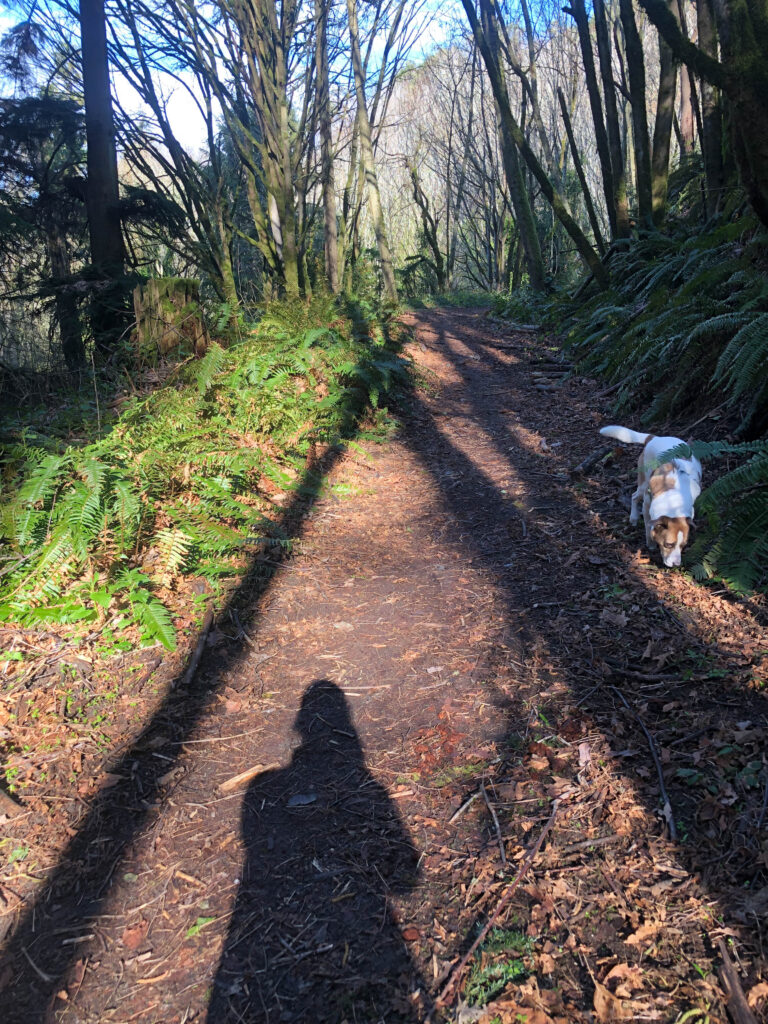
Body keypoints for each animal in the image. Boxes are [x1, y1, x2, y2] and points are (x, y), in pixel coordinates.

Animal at [602, 423, 704, 569]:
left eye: (683, 545)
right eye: (668, 544)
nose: (676, 564)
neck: (674, 502)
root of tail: (654, 438)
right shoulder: (647, 506)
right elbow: (648, 527)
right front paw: (650, 544)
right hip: (643, 483)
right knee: (634, 496)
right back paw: (633, 517)